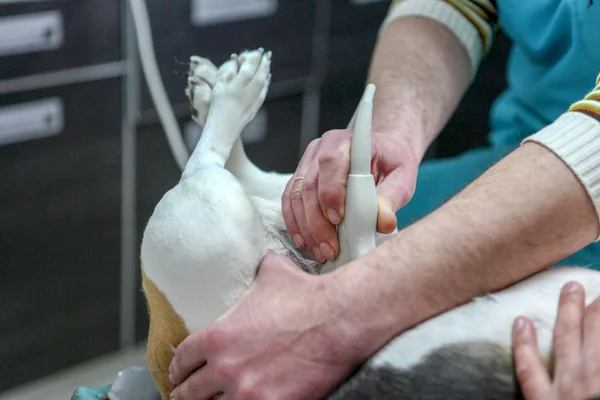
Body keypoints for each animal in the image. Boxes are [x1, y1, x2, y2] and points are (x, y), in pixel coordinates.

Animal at [138, 49, 600, 400]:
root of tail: (165, 366)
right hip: (219, 209)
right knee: (228, 170)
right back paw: (221, 89)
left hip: (212, 213)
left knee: (214, 168)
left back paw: (229, 90)